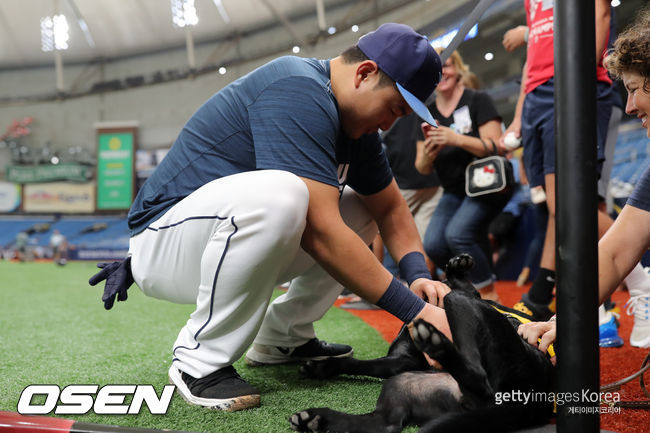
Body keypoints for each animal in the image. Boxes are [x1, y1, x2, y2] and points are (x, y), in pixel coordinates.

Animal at [288, 253, 552, 432]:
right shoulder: (398, 362)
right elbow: (357, 364)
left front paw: (457, 269)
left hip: (458, 305)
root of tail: (535, 392)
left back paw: (436, 341)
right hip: (404, 383)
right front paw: (320, 367)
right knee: (385, 424)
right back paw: (316, 418)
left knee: (479, 378)